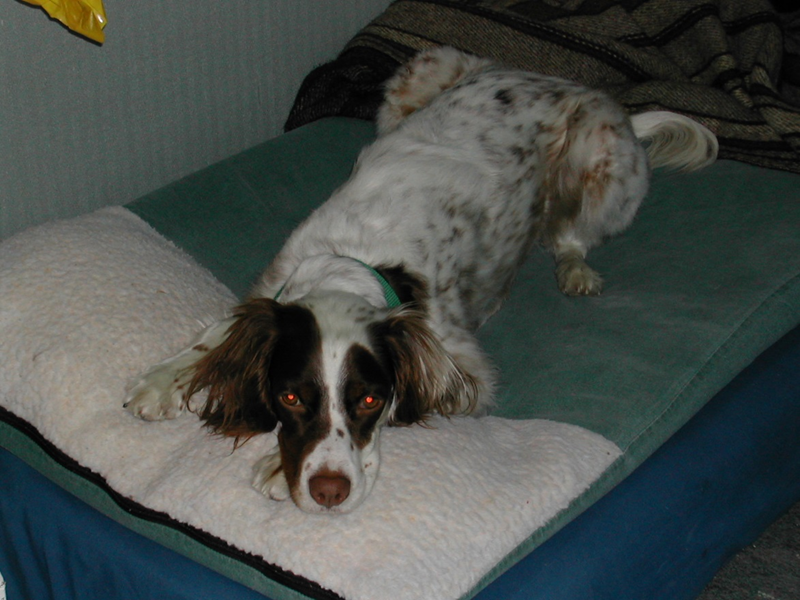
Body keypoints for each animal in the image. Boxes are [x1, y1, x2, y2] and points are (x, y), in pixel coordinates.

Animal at [125, 47, 720, 512]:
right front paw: (162, 379)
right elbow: (217, 335)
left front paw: (275, 465)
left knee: (570, 232)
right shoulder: (270, 289)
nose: (327, 490)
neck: (354, 260)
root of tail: (580, 88)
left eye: (367, 399)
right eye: (291, 397)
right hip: (420, 73)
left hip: (602, 160)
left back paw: (574, 267)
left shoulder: (466, 368)